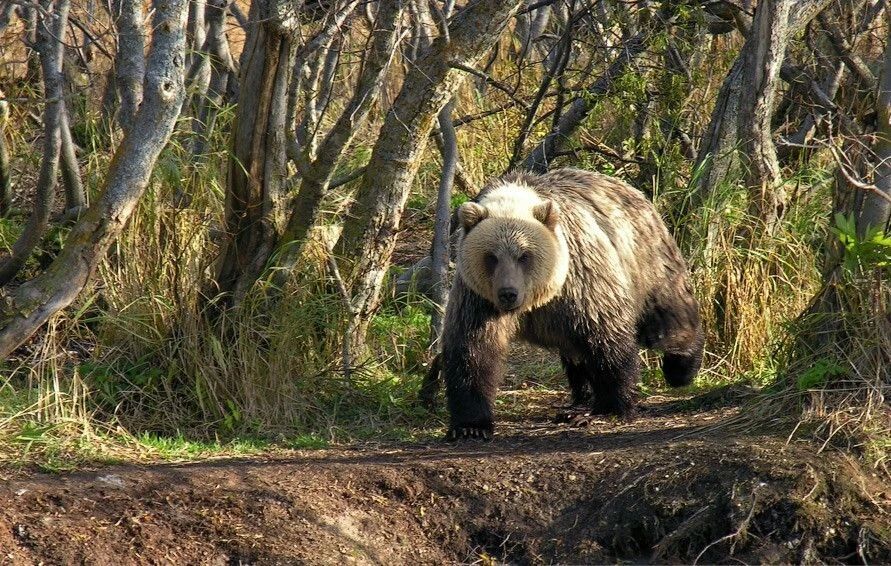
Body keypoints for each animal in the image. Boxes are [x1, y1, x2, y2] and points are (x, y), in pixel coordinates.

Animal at [440, 167, 703, 440]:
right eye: (491, 256)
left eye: (524, 255)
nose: (508, 293)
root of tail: (634, 192)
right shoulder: (479, 298)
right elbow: (473, 348)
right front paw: (470, 425)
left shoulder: (580, 280)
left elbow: (605, 337)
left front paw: (613, 405)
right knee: (575, 353)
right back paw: (578, 400)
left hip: (646, 261)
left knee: (667, 315)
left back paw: (682, 367)